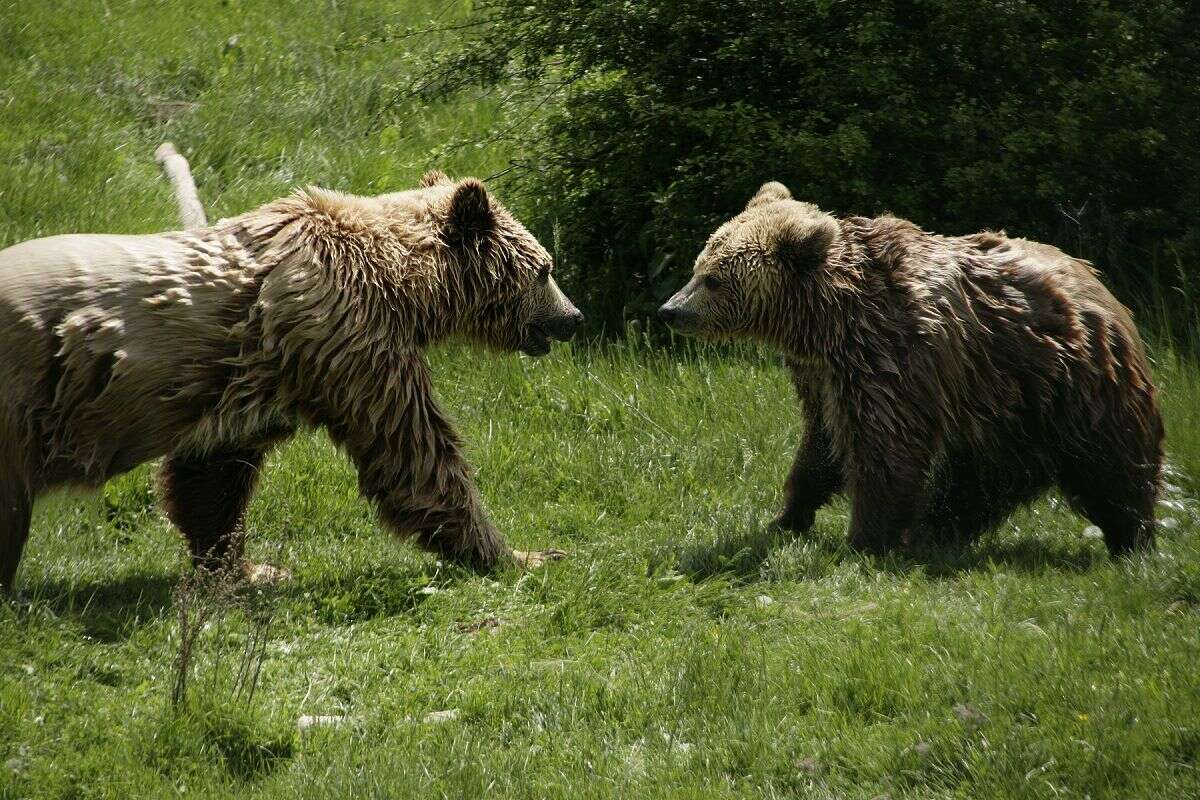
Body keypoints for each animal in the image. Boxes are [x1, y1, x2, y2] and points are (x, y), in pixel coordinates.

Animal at [0, 170, 583, 590]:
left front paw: (249, 569)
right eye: (545, 269)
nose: (574, 317)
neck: (402, 282)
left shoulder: (254, 379)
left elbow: (212, 476)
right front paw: (522, 553)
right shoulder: (348, 337)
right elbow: (412, 452)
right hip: (24, 399)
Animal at [658, 182, 1164, 556]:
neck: (826, 319)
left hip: (1074, 385)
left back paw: (1132, 540)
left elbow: (884, 446)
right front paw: (787, 517)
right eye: (699, 265)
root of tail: (1104, 289)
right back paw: (937, 530)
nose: (670, 309)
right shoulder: (822, 375)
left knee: (1112, 468)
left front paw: (865, 540)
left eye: (714, 278)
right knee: (980, 479)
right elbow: (820, 445)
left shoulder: (890, 355)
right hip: (1008, 403)